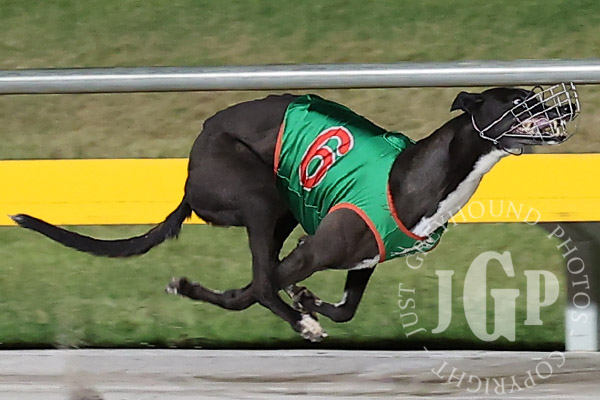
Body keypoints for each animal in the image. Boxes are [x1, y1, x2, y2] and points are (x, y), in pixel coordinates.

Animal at [11, 83, 579, 342]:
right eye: (517, 102)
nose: (569, 106)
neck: (421, 174)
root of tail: (191, 169)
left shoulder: (363, 259)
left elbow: (344, 306)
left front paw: (309, 301)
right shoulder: (314, 249)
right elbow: (254, 290)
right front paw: (302, 313)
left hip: (281, 210)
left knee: (260, 279)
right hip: (260, 194)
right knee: (261, 281)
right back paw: (292, 318)